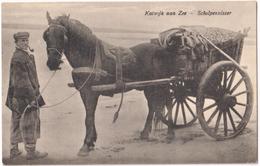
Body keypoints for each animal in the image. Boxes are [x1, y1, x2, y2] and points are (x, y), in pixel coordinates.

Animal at [43, 12, 177, 156]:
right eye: (46, 36)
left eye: (63, 36)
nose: (52, 62)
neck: (90, 56)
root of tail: (162, 49)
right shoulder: (84, 92)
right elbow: (90, 115)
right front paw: (91, 141)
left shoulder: (90, 92)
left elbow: (88, 117)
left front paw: (86, 145)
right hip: (149, 86)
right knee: (152, 106)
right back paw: (145, 133)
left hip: (163, 84)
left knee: (169, 101)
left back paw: (170, 132)